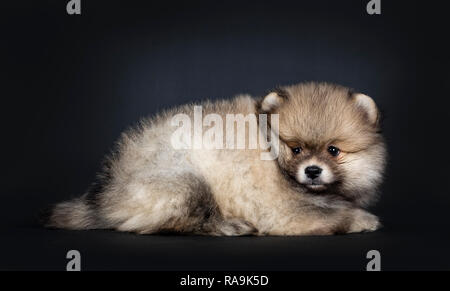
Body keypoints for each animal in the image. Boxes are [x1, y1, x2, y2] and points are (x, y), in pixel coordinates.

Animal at [43, 82, 386, 237]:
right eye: (296, 149)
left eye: (333, 150)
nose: (313, 171)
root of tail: (105, 195)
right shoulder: (282, 211)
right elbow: (332, 216)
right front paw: (363, 220)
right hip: (185, 183)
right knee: (179, 222)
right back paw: (231, 226)